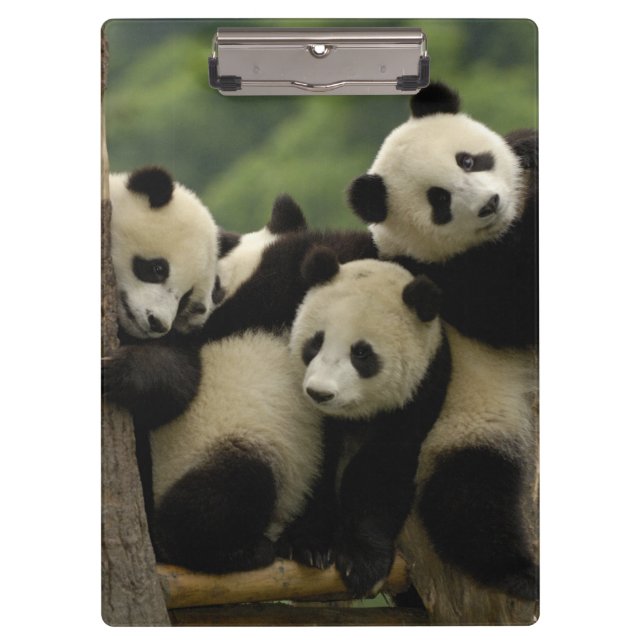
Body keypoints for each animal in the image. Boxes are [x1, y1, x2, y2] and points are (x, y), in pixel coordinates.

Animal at [288, 248, 538, 601]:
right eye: (315, 342)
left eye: (362, 353)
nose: (320, 392)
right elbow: (315, 463)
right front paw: (310, 544)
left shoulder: (422, 394)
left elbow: (383, 471)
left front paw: (362, 562)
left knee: (471, 494)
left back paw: (517, 574)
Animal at [347, 81, 537, 349]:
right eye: (440, 200)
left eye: (467, 161)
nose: (490, 204)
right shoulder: (446, 277)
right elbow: (513, 303)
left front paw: (528, 148)